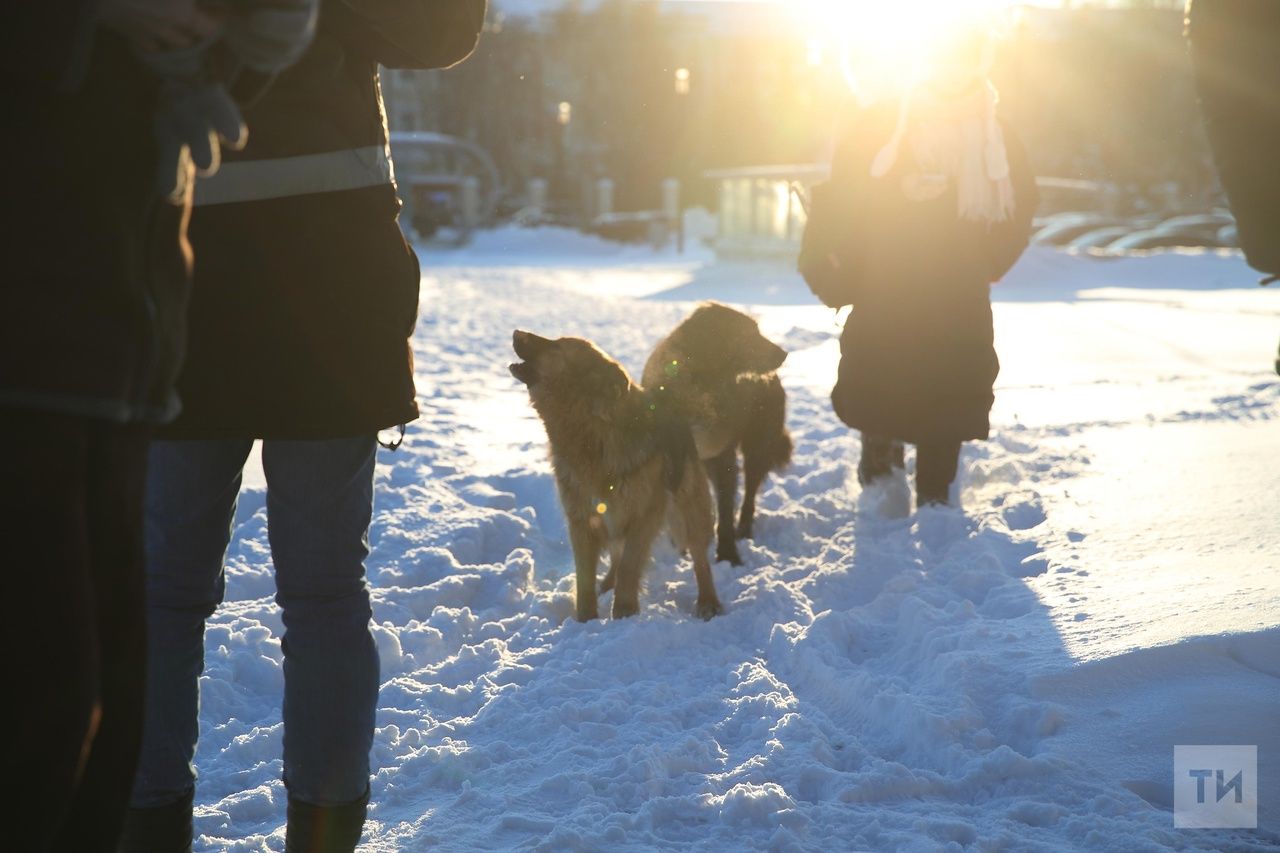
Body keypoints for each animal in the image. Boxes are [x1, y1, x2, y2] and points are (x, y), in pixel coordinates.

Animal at [506, 330, 721, 617]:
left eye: (557, 346)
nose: (516, 332)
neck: (592, 435)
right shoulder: (582, 520)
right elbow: (585, 576)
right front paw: (585, 619)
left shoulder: (644, 516)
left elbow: (630, 566)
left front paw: (624, 612)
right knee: (617, 555)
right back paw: (607, 585)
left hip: (689, 509)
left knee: (699, 557)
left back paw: (708, 601)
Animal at [640, 300, 788, 563]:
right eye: (747, 334)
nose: (784, 354)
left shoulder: (722, 458)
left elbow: (726, 508)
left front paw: (728, 555)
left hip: (757, 448)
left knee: (749, 493)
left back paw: (744, 530)